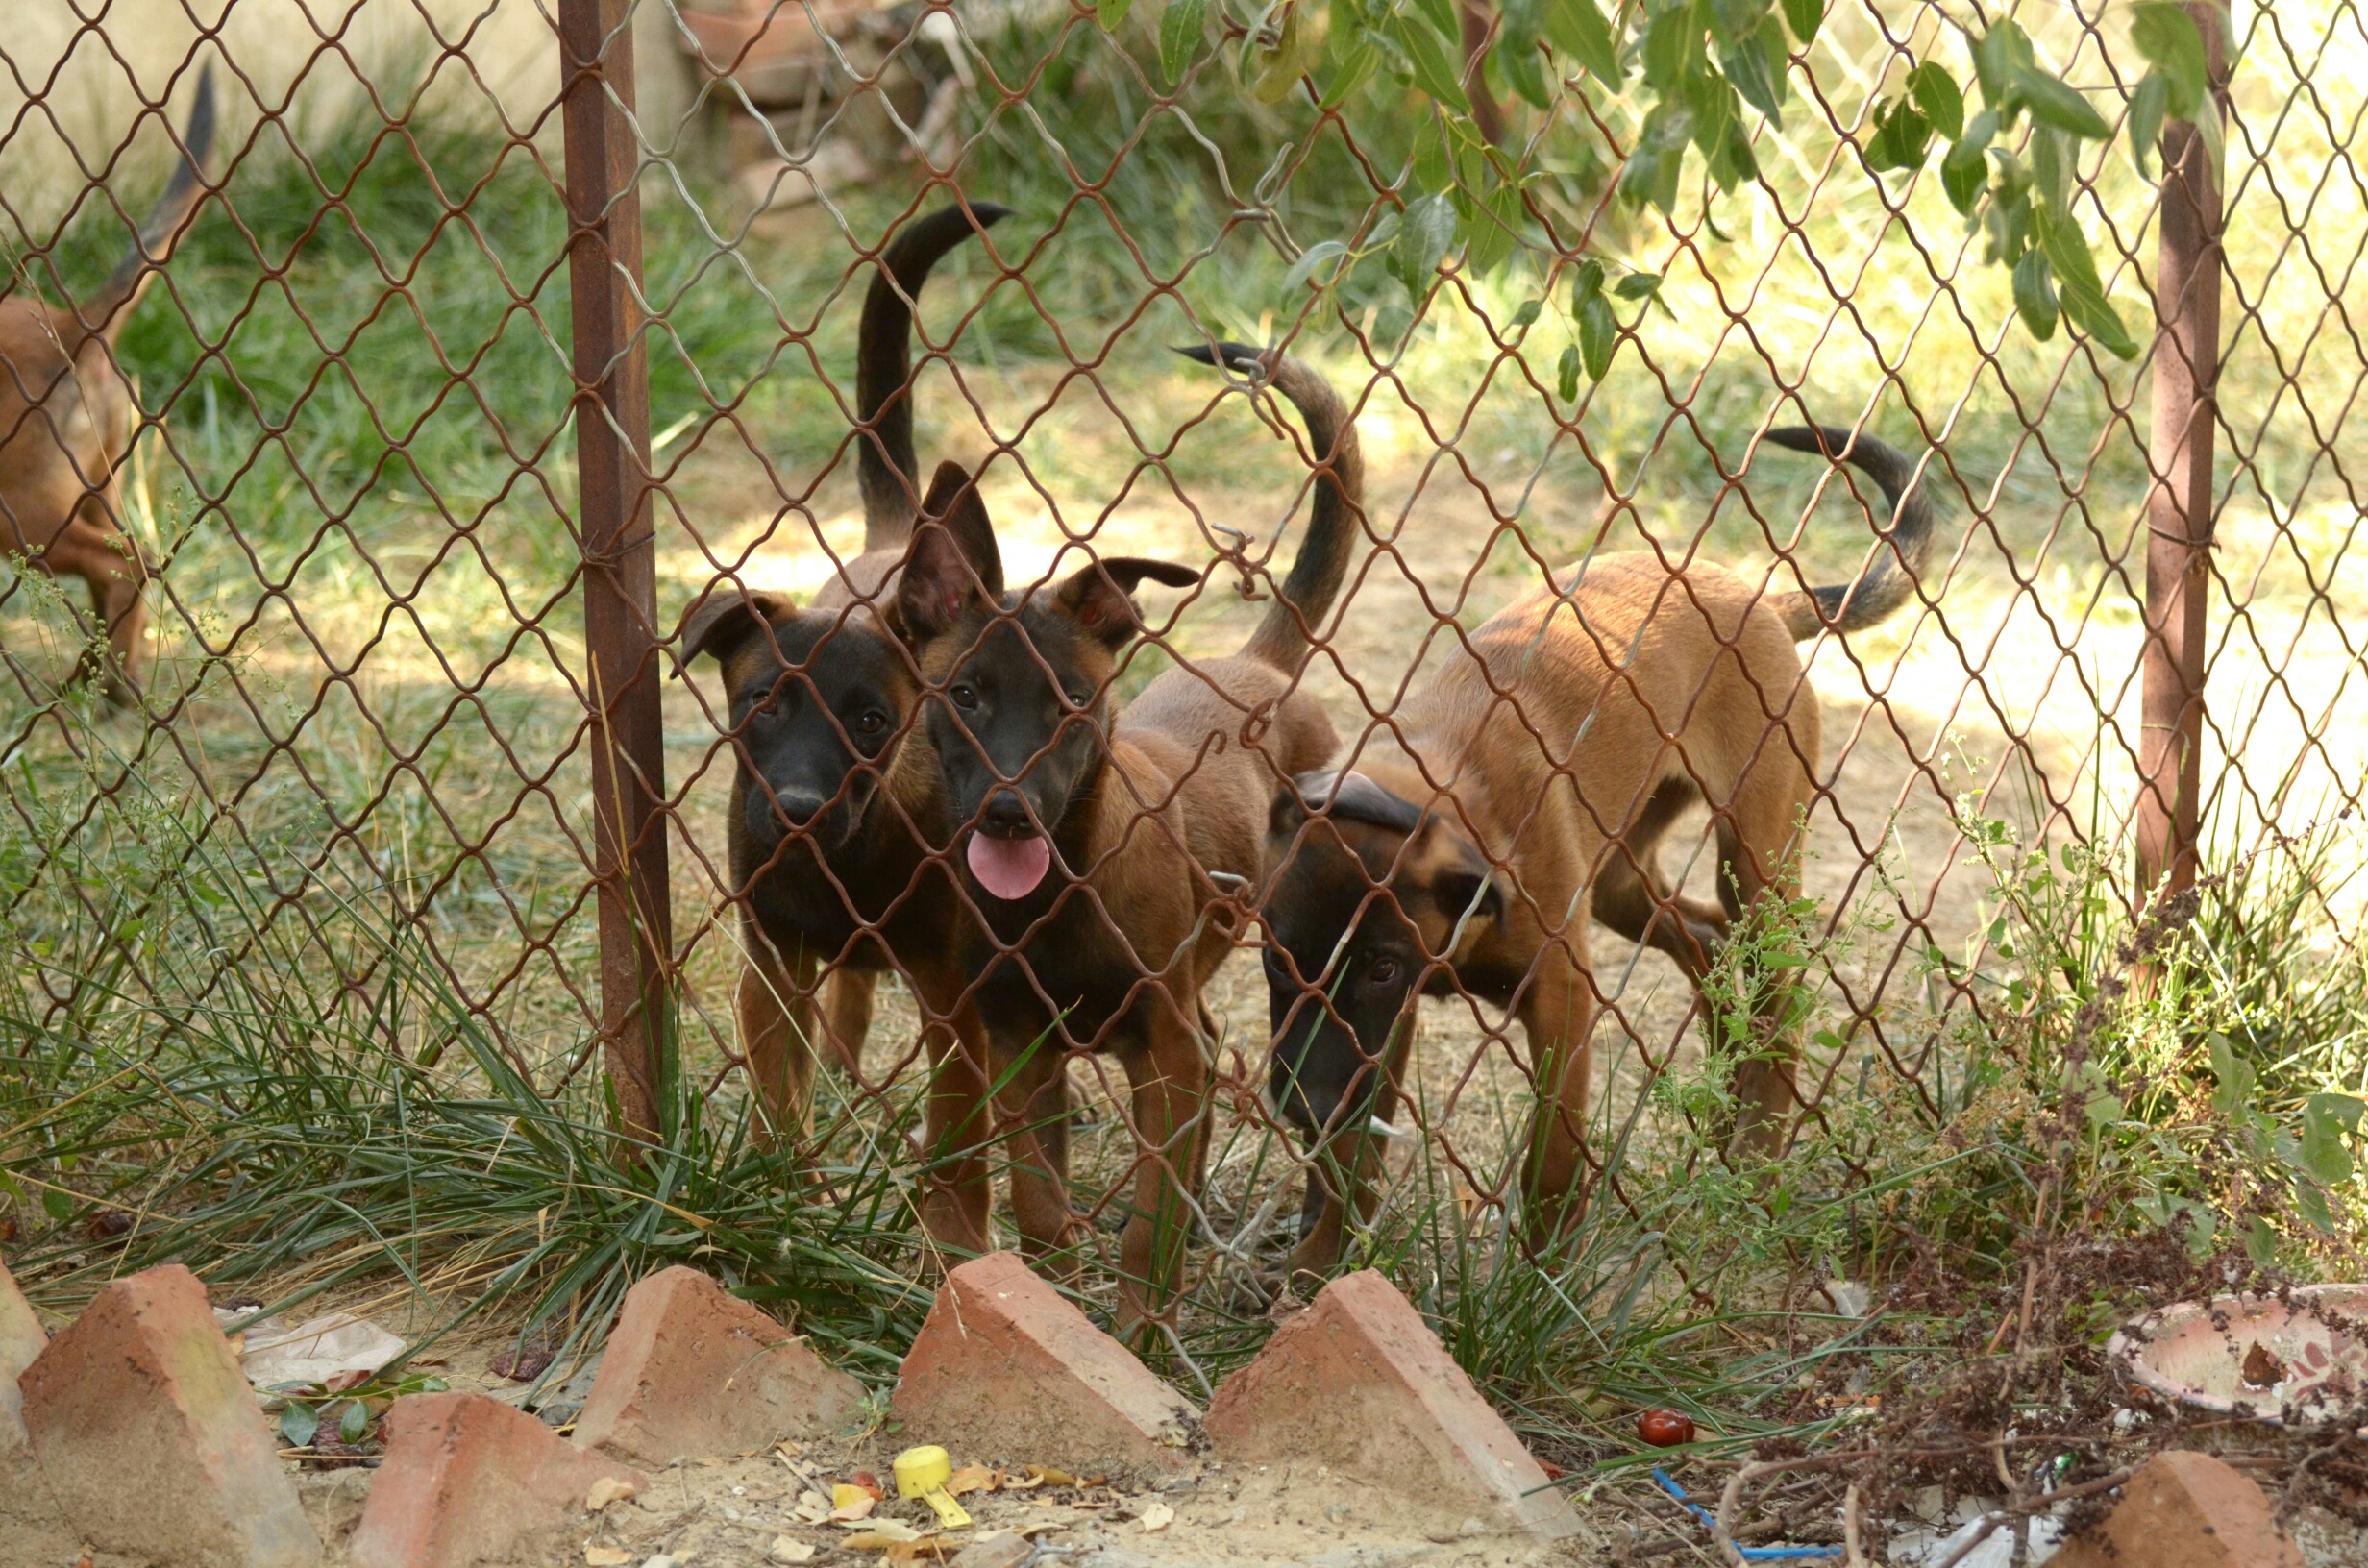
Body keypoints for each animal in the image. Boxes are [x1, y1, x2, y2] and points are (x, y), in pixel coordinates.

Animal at [1, 70, 217, 700]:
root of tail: (76, 330)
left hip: (24, 515)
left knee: (127, 566)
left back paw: (95, 685)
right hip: (99, 488)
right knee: (129, 570)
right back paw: (112, 679)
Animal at [691, 202, 1013, 1250]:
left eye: (872, 720)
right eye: (758, 706)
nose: (794, 806)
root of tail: (897, 538)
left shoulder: (954, 996)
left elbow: (960, 1130)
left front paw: (955, 1242)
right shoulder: (771, 971)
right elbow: (777, 1100)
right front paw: (785, 1191)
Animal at [890, 348, 1373, 1335]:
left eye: (1073, 703)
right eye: (965, 695)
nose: (1009, 815)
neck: (1059, 893)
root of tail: (1256, 665)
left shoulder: (1163, 1046)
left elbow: (1149, 1222)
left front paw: (1143, 1331)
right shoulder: (1022, 1046)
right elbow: (1037, 1199)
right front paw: (1050, 1300)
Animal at [1269, 424, 1932, 1288]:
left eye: (1379, 966)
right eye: (1275, 956)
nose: (1298, 1109)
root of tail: (1754, 595)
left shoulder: (1555, 999)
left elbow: (1550, 1161)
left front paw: (1538, 1283)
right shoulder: (1387, 1024)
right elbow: (1353, 1158)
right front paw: (1320, 1262)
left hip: (1757, 859)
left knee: (1777, 996)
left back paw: (1756, 1153)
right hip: (1622, 877)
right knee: (1706, 940)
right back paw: (1724, 1106)